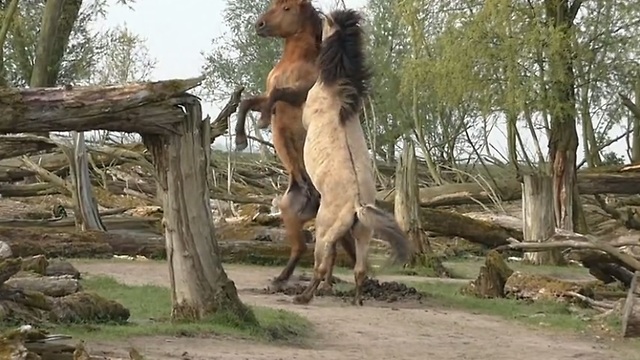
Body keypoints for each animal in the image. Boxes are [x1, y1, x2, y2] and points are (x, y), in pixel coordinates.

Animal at [232, 0, 358, 290]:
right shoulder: (266, 93)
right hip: (288, 212)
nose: (259, 25)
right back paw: (285, 280)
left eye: (287, 8)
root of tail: (314, 202)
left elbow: (276, 96)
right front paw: (241, 138)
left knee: (332, 249)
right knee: (306, 248)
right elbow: (248, 102)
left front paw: (263, 120)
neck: (295, 61)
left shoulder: (301, 94)